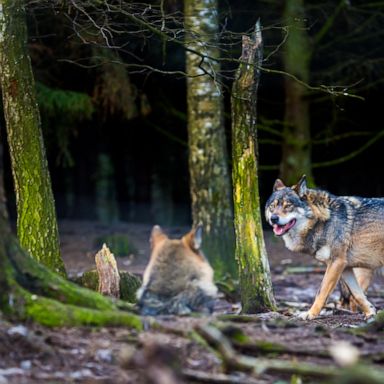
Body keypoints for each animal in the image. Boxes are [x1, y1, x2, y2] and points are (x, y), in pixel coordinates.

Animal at [264, 176, 384, 320]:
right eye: (273, 206)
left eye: (288, 206)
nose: (273, 218)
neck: (324, 221)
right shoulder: (345, 267)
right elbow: (357, 295)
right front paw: (371, 312)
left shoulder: (336, 263)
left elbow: (321, 292)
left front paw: (310, 314)